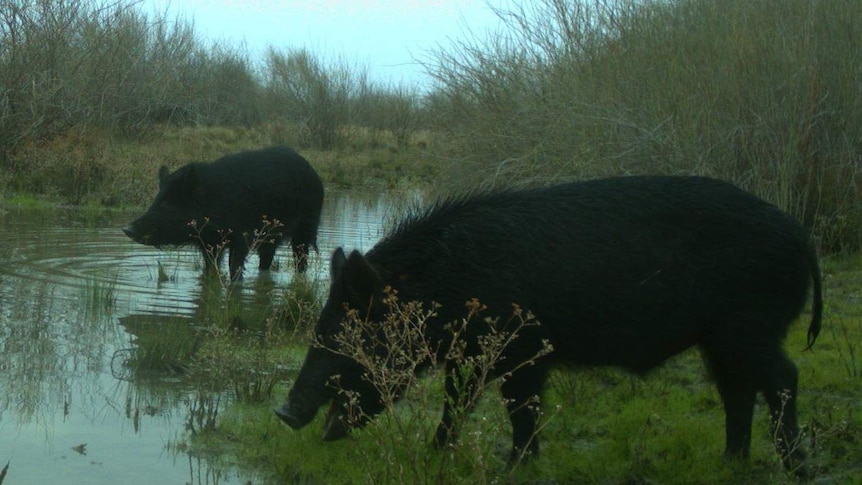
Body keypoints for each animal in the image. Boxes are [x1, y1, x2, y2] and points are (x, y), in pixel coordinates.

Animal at [123, 146, 322, 278]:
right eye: (155, 200)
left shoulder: (241, 236)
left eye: (166, 204)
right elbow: (211, 267)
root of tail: (313, 171)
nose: (127, 229)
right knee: (267, 258)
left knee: (301, 257)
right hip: (270, 238)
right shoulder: (209, 243)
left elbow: (235, 266)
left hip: (307, 227)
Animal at [278, 175, 824, 476]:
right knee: (737, 390)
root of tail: (802, 235)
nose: (284, 412)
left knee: (783, 379)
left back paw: (796, 468)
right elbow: (458, 404)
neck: (445, 287)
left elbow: (520, 409)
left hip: (749, 325)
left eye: (349, 335)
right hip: (721, 338)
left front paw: (513, 468)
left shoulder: (523, 348)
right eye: (322, 328)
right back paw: (731, 462)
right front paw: (438, 455)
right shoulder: (471, 356)